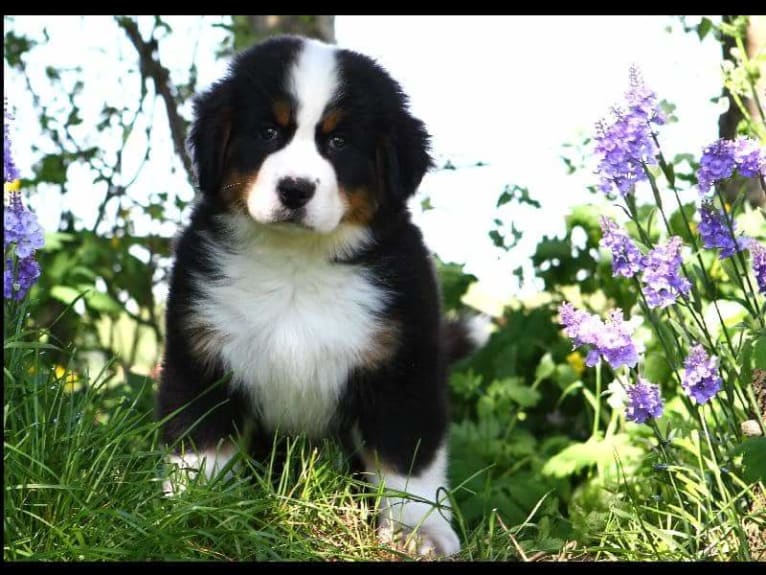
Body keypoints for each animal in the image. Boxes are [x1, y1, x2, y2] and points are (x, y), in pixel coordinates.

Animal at [158, 33, 486, 556]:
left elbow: (407, 461)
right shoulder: (201, 352)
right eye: (268, 132)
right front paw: (192, 514)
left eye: (338, 141)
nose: (295, 189)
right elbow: (200, 446)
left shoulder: (402, 367)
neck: (297, 264)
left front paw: (420, 532)